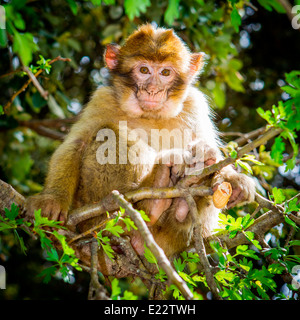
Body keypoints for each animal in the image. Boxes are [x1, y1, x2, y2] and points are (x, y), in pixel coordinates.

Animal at [25, 24, 255, 260]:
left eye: (165, 73)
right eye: (144, 70)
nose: (152, 90)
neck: (150, 115)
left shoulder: (195, 104)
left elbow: (213, 152)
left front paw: (236, 180)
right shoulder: (102, 99)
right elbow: (77, 145)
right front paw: (52, 199)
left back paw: (184, 200)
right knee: (108, 133)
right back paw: (152, 200)